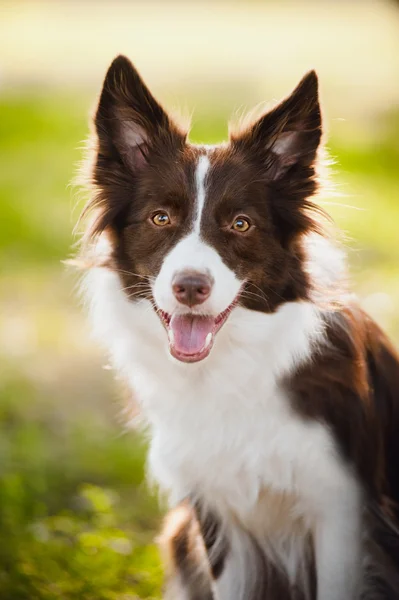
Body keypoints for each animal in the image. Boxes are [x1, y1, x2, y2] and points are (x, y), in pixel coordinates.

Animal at [77, 54, 399, 596]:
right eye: (160, 218)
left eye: (241, 224)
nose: (190, 287)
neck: (229, 369)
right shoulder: (214, 511)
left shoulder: (340, 511)